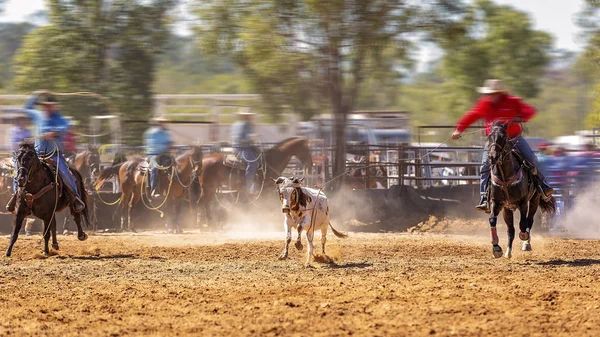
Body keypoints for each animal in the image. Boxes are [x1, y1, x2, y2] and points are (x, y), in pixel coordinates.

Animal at [486, 122, 556, 258]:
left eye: (503, 136)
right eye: (489, 136)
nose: (493, 156)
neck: (505, 176)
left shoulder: (523, 202)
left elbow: (523, 224)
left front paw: (524, 237)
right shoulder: (496, 203)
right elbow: (492, 220)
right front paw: (496, 248)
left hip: (534, 200)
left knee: (529, 221)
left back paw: (526, 243)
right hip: (507, 209)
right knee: (510, 230)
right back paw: (508, 251)